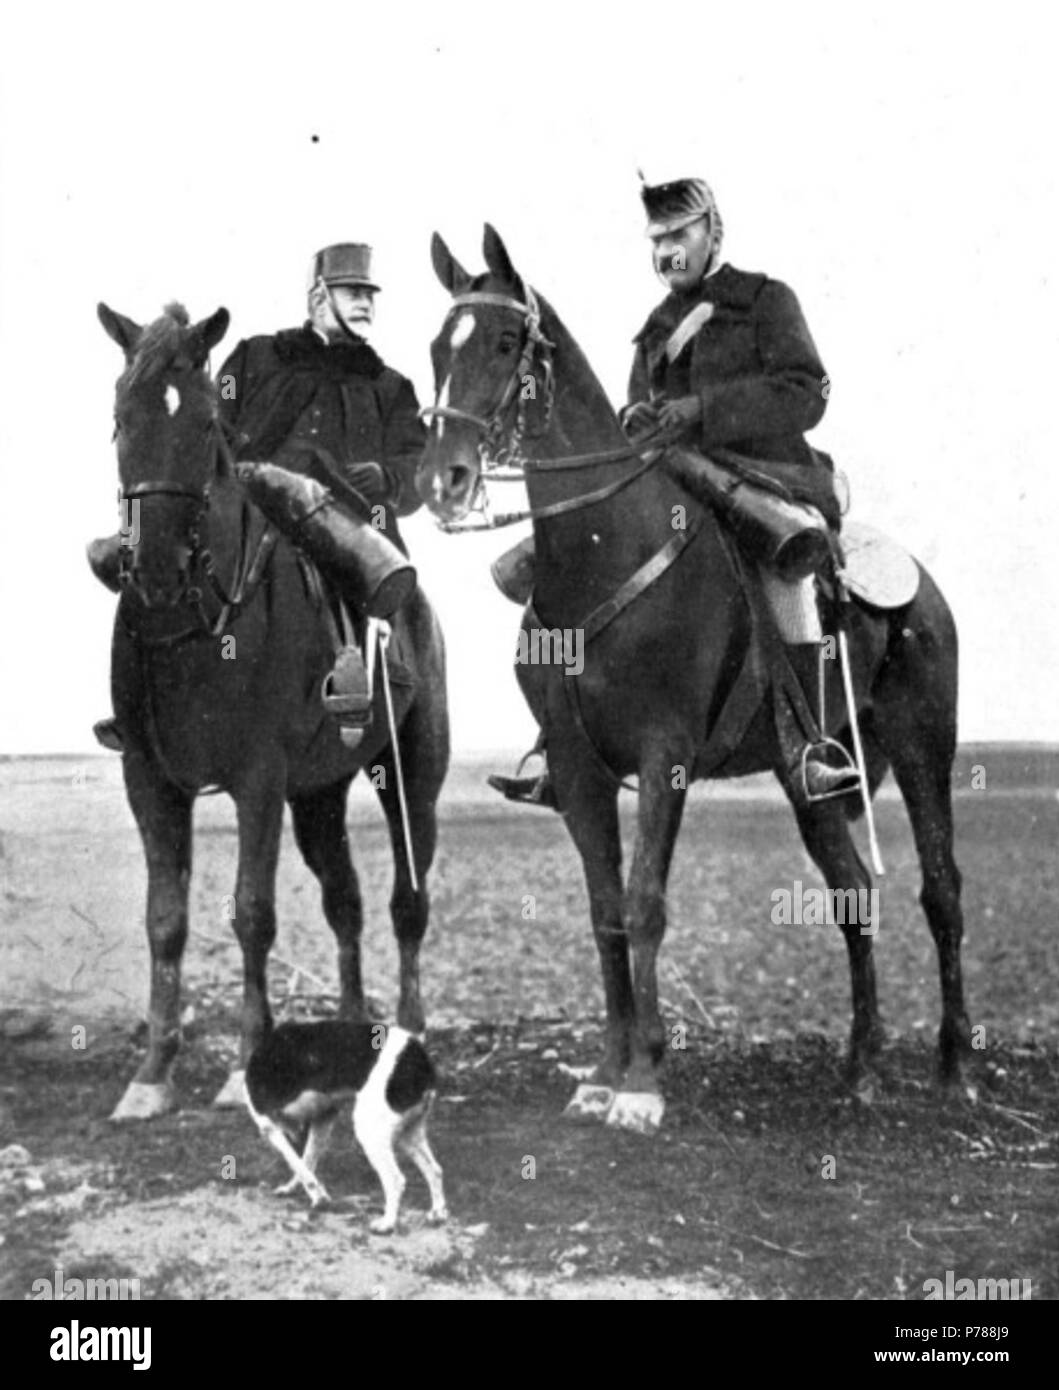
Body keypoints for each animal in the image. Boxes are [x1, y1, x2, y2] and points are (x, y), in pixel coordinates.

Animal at [97, 301, 447, 1117]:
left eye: (203, 425)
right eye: (122, 418)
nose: (153, 567)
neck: (192, 624)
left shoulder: (257, 782)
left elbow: (252, 914)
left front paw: (243, 1068)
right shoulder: (148, 781)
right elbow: (165, 921)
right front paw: (152, 1074)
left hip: (411, 775)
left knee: (405, 904)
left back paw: (409, 1035)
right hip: (318, 795)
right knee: (346, 902)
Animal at [243, 1017, 444, 1234]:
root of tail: (418, 1056)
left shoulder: (269, 1126)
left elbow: (297, 1162)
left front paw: (319, 1197)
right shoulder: (323, 1119)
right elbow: (306, 1161)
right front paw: (295, 1189)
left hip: (370, 1132)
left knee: (395, 1179)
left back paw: (387, 1223)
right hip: (409, 1135)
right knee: (434, 1170)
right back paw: (438, 1214)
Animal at [414, 227, 972, 1134]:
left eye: (501, 342)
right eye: (437, 347)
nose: (443, 480)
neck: (603, 549)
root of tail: (922, 589)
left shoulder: (662, 754)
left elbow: (644, 902)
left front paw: (643, 1082)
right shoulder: (576, 770)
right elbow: (605, 912)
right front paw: (606, 1070)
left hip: (925, 753)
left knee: (941, 891)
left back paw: (954, 1068)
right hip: (804, 776)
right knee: (852, 893)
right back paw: (860, 1067)